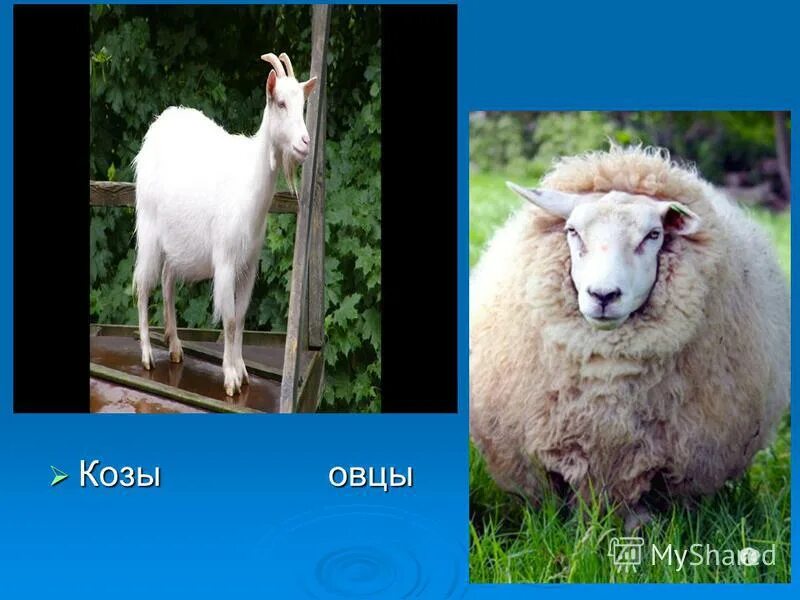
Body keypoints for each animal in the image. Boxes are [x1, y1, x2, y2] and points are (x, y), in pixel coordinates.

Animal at [133, 52, 317, 396]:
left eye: (303, 105)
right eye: (280, 103)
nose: (305, 143)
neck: (250, 184)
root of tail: (158, 125)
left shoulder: (249, 264)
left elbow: (241, 317)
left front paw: (242, 371)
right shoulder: (227, 261)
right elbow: (230, 320)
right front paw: (230, 378)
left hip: (176, 241)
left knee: (167, 281)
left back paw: (175, 345)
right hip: (149, 229)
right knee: (142, 284)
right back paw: (148, 354)